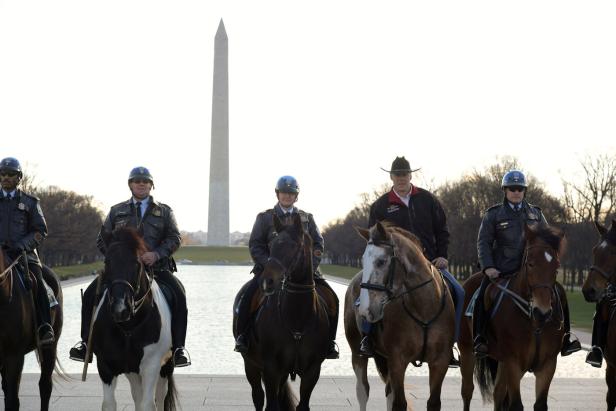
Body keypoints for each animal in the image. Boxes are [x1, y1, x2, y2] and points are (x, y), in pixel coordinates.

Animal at [233, 214, 332, 410]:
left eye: (293, 246)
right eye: (272, 245)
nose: (267, 281)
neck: (297, 317)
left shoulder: (312, 371)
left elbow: (303, 405)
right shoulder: (271, 367)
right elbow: (271, 404)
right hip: (251, 364)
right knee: (258, 396)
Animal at [344, 224, 454, 410]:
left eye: (381, 261)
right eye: (363, 260)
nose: (364, 310)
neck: (423, 308)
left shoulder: (440, 362)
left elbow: (433, 402)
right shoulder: (397, 360)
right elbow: (399, 403)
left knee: (388, 392)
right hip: (357, 353)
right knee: (363, 391)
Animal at [458, 225, 568, 411]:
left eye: (556, 266)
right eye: (530, 263)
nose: (543, 312)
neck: (534, 322)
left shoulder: (547, 365)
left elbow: (539, 404)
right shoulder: (513, 362)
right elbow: (516, 404)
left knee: (498, 393)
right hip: (467, 350)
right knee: (467, 391)